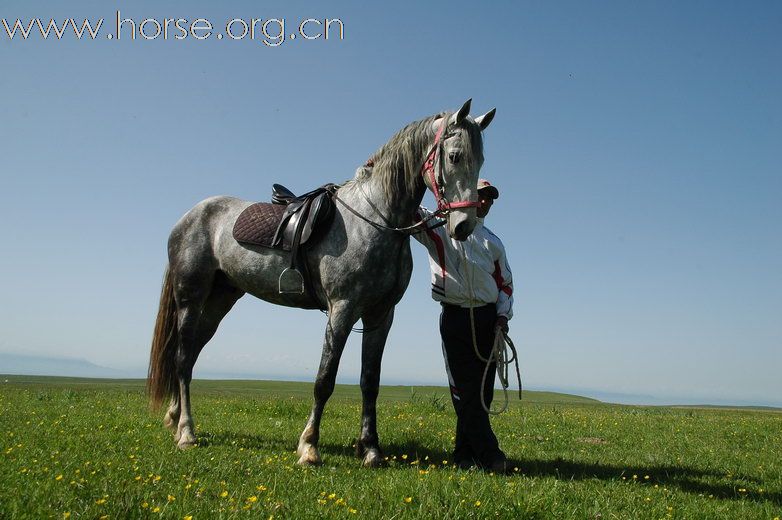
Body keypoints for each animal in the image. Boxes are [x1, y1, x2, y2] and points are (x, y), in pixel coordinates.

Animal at [149, 98, 496, 468]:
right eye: (455, 156)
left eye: (480, 160)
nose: (463, 226)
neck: (376, 220)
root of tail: (189, 216)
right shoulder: (342, 310)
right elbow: (324, 380)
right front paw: (309, 446)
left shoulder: (380, 316)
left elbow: (370, 381)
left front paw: (370, 449)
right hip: (191, 296)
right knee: (182, 357)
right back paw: (186, 432)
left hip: (220, 299)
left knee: (191, 353)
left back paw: (174, 417)